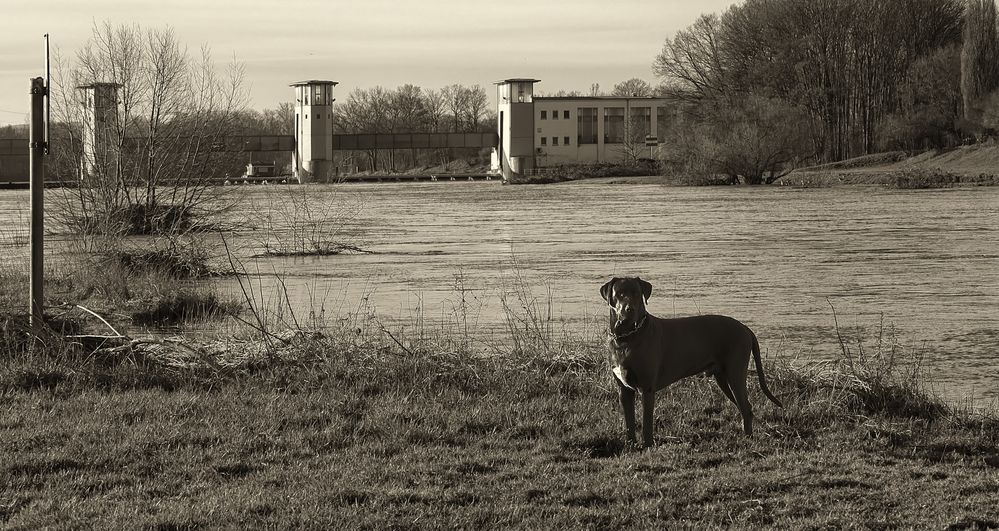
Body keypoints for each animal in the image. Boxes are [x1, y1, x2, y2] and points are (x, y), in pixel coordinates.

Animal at [596, 276, 784, 446]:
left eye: (637, 293)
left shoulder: (647, 388)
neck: (626, 338)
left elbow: (646, 424)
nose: (629, 309)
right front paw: (631, 445)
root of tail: (745, 328)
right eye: (620, 294)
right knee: (746, 408)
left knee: (745, 408)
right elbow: (629, 422)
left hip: (735, 375)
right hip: (724, 379)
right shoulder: (624, 390)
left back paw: (747, 440)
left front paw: (647, 446)